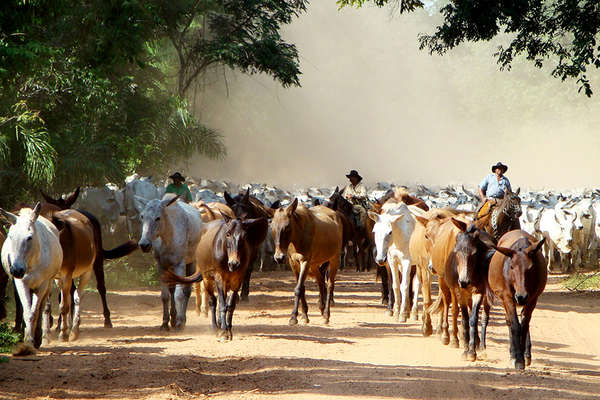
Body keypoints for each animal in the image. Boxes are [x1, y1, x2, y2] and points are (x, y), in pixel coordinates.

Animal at [0, 203, 62, 354]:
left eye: (29, 237)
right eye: (10, 236)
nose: (16, 270)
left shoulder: (43, 284)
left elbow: (35, 312)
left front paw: (33, 340)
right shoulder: (21, 283)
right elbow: (27, 312)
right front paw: (27, 341)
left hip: (47, 284)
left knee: (42, 307)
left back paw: (39, 336)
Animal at [134, 195, 204, 332]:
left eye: (158, 217)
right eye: (142, 216)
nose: (144, 244)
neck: (167, 238)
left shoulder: (179, 265)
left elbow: (179, 295)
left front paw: (180, 322)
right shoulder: (161, 266)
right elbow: (165, 296)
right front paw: (165, 322)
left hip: (191, 263)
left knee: (186, 291)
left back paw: (182, 319)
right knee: (172, 289)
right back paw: (173, 318)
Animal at [490, 230, 548, 370]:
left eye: (531, 267)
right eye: (511, 266)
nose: (521, 296)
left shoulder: (533, 298)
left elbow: (524, 325)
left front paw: (523, 356)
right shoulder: (507, 297)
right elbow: (515, 326)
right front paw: (518, 360)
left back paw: (526, 354)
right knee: (509, 322)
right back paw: (513, 354)